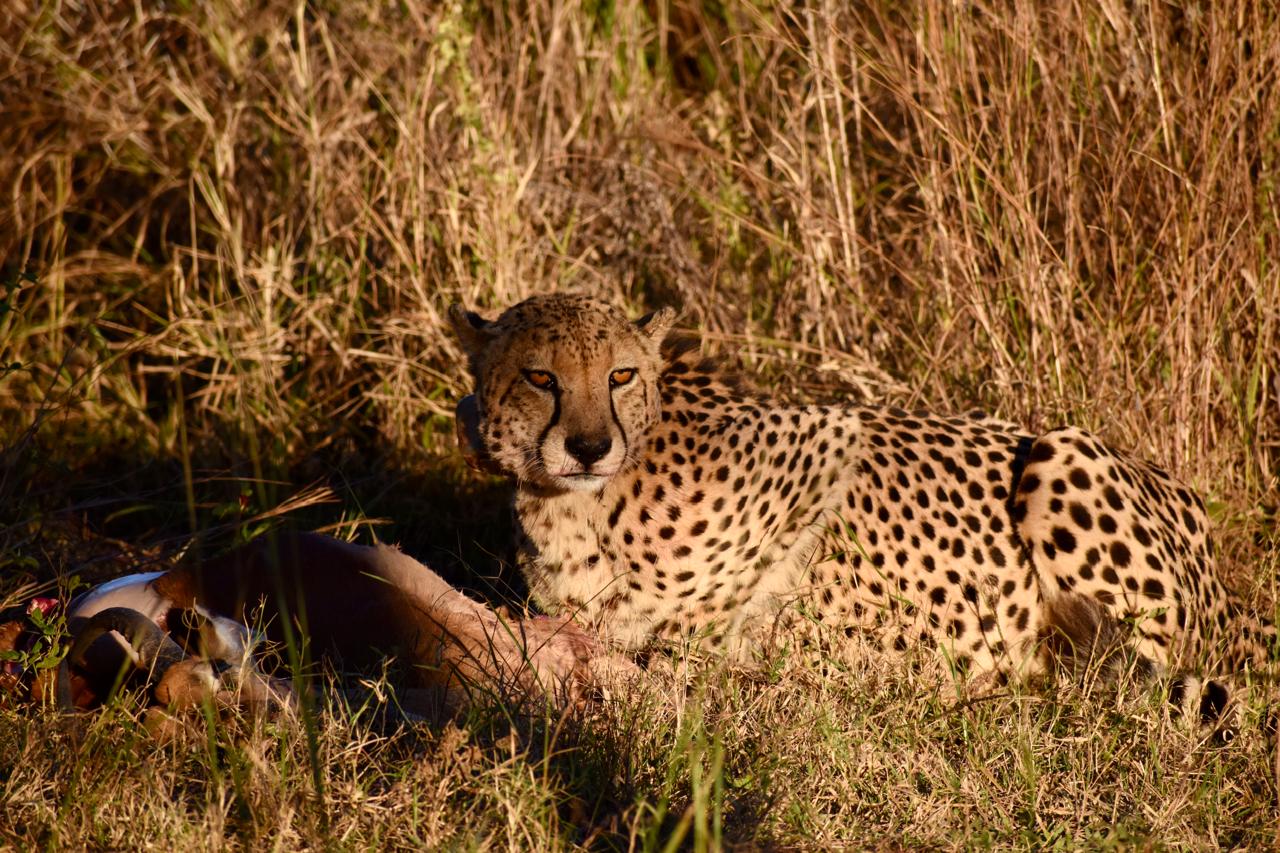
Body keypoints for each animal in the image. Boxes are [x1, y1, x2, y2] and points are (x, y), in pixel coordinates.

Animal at [449, 292, 1274, 702]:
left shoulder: (830, 440)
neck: (581, 504)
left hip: (1058, 454)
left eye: (619, 374)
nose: (589, 446)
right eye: (541, 376)